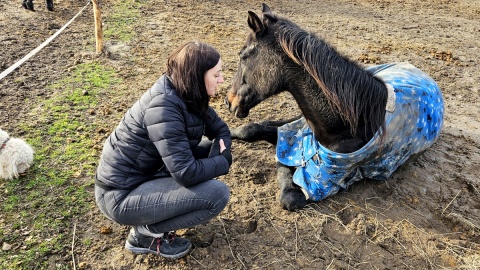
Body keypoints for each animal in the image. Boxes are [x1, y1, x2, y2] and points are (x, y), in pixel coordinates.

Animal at [227, 3, 444, 211]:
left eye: (243, 56)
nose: (229, 102)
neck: (354, 124)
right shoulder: (298, 128)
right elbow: (251, 129)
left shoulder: (319, 183)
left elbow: (288, 193)